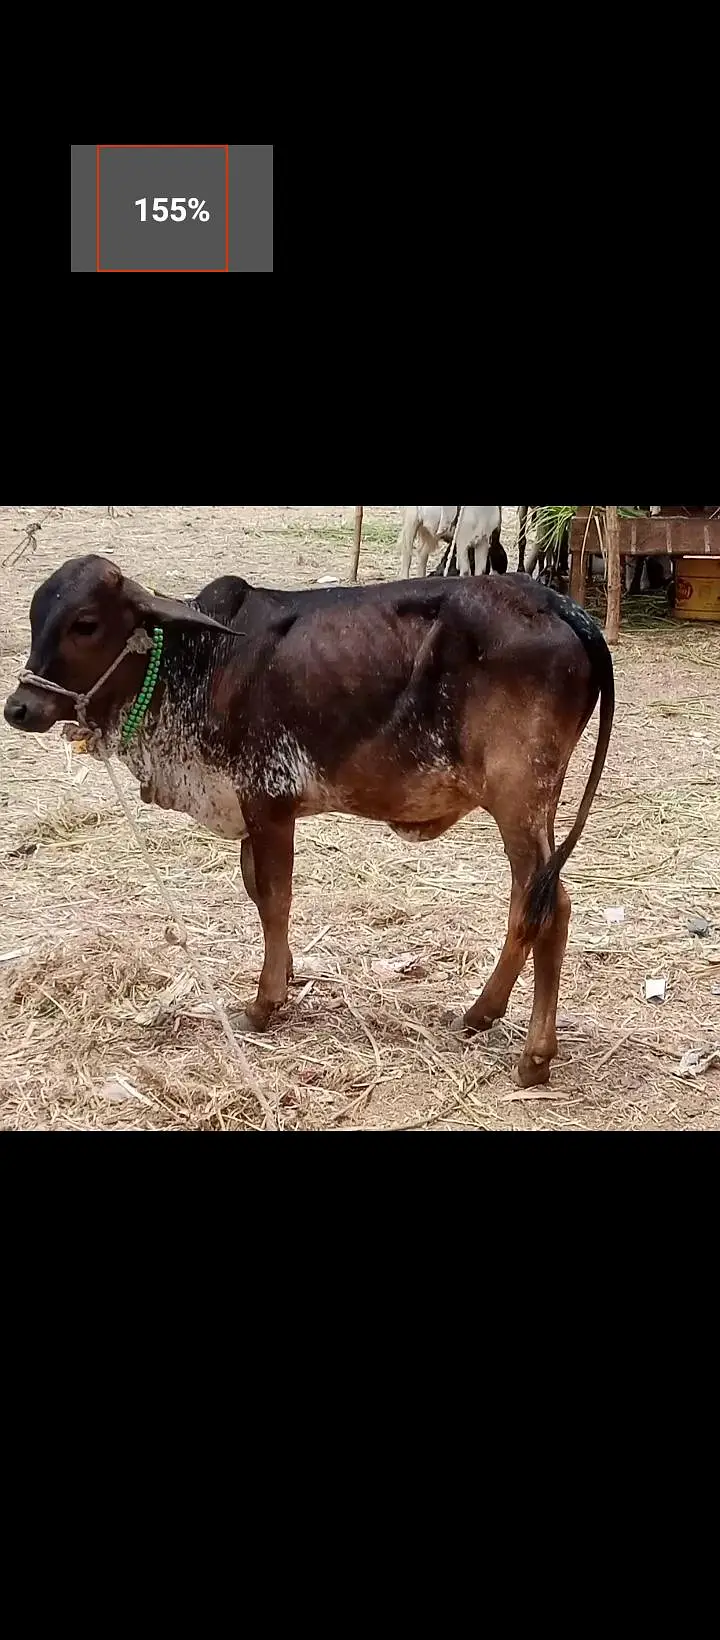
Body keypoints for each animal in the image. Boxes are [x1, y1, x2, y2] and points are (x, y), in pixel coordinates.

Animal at [3, 555, 615, 1090]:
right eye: (34, 616)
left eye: (85, 624)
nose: (19, 709)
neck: (199, 662)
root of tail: (560, 604)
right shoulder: (253, 809)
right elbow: (255, 890)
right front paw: (288, 973)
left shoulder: (268, 801)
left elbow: (274, 899)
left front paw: (264, 1004)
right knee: (534, 903)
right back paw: (481, 1014)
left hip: (519, 798)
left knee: (547, 906)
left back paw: (532, 1055)